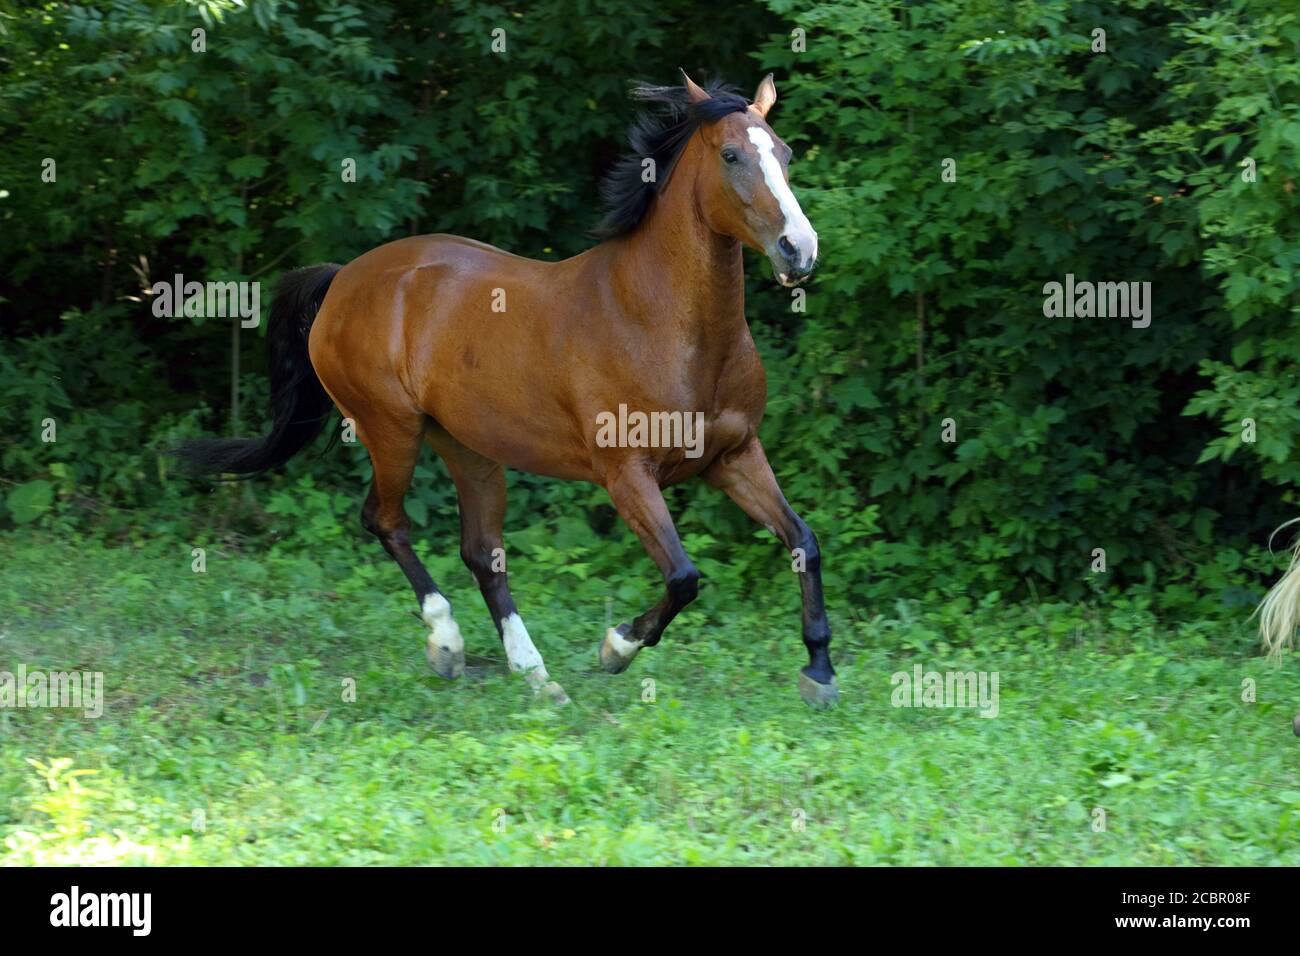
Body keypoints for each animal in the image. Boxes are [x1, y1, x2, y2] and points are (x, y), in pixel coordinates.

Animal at [180, 74, 832, 707]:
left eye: (785, 152)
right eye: (730, 155)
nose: (799, 249)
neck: (666, 324)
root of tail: (344, 279)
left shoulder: (734, 456)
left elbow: (804, 540)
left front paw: (819, 672)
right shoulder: (627, 476)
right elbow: (683, 577)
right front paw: (616, 648)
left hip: (469, 447)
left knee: (481, 552)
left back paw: (537, 676)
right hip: (391, 429)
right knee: (386, 521)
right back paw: (448, 644)